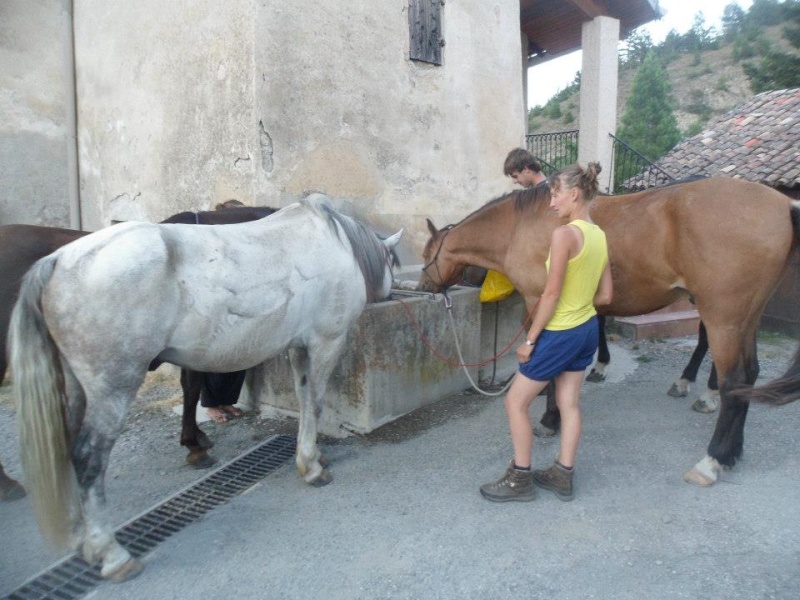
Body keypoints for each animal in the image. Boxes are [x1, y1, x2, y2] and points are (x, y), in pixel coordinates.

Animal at [418, 178, 800, 488]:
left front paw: (549, 420)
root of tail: (783, 204)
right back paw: (732, 453)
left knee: (732, 380)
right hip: (747, 318)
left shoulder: (540, 302)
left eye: (426, 256)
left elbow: (549, 365)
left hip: (723, 316)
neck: (519, 225)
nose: (423, 287)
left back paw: (711, 459)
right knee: (749, 376)